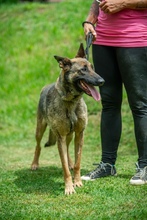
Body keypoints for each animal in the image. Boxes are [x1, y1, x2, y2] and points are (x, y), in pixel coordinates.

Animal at [31, 43, 104, 195]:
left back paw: (70, 162)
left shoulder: (79, 134)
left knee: (69, 150)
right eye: (83, 70)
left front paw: (77, 182)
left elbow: (77, 162)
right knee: (38, 146)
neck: (71, 102)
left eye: (92, 67)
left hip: (70, 135)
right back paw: (34, 164)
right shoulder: (60, 137)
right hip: (40, 129)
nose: (102, 81)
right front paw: (69, 187)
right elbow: (64, 166)